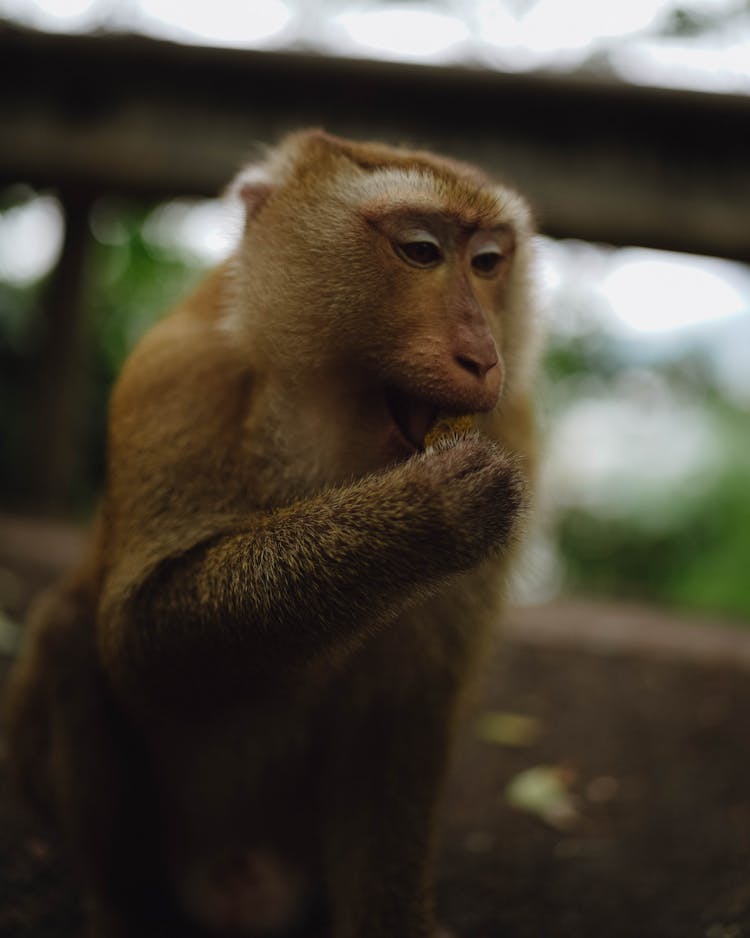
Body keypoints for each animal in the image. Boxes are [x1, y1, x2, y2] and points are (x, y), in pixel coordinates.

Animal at [2, 132, 536, 936]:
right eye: (420, 251)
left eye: (488, 261)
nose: (482, 355)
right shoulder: (177, 380)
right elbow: (143, 641)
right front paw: (429, 510)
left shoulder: (513, 426)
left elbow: (406, 698)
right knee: (69, 628)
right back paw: (130, 914)